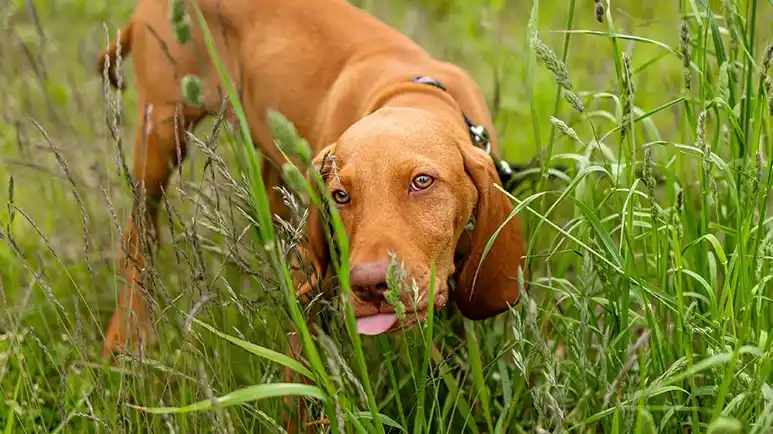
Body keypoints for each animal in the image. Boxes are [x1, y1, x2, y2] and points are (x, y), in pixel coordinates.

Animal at [98, 0, 524, 394]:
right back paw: (126, 340)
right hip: (162, 129)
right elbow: (305, 386)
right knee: (139, 233)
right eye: (340, 195)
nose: (371, 285)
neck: (410, 91)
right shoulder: (310, 282)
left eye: (422, 181)